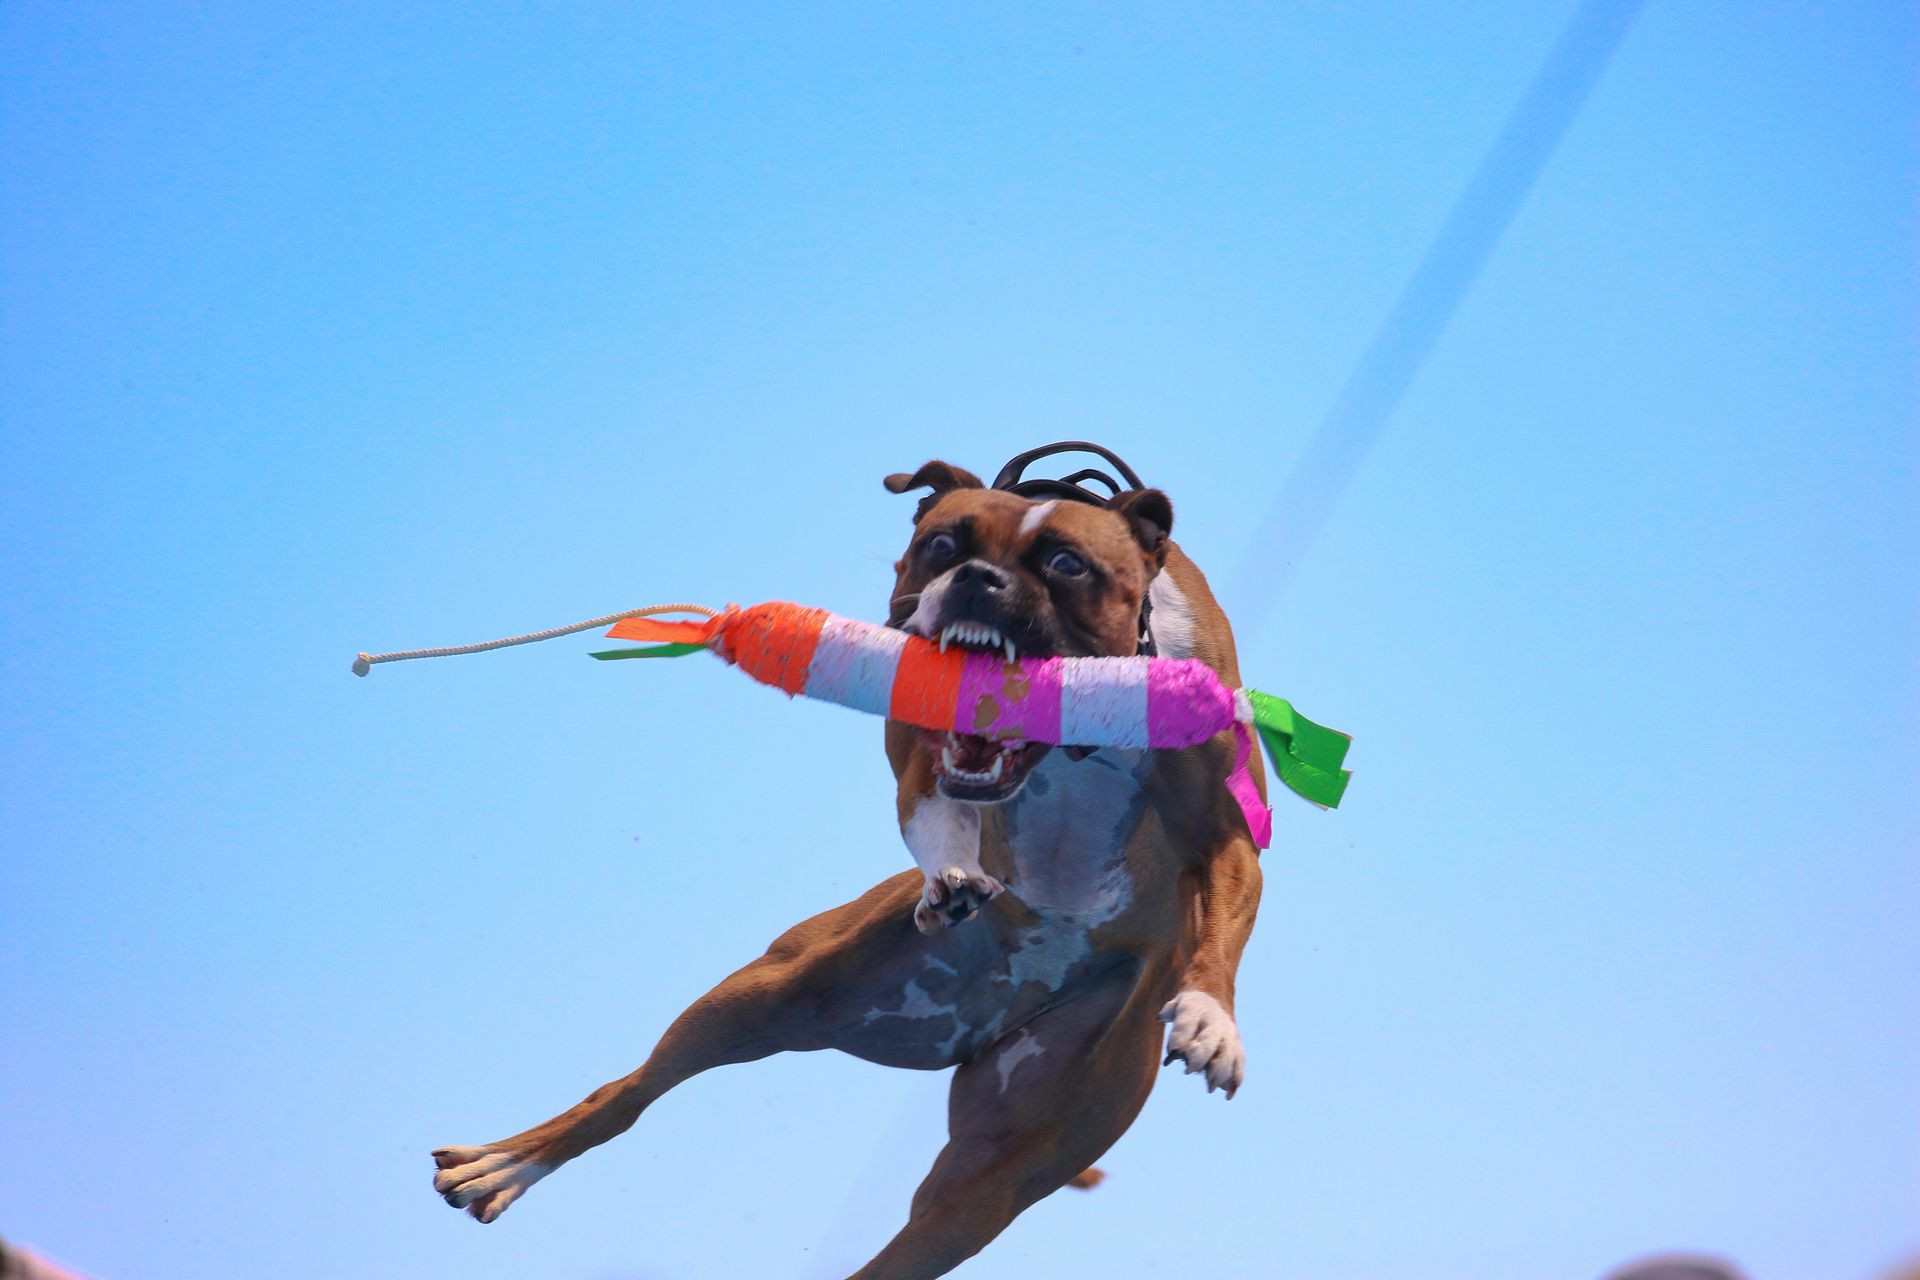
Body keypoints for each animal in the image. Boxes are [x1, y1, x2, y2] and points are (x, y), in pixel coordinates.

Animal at [435, 445, 1274, 1274]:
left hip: (992, 1178)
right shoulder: (916, 736)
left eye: (1067, 563)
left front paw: (1211, 1017)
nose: (978, 579)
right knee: (628, 1091)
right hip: (778, 989)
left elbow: (1226, 900)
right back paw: (506, 1164)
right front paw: (951, 873)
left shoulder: (1225, 830)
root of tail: (996, 1008)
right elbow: (928, 799)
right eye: (943, 543)